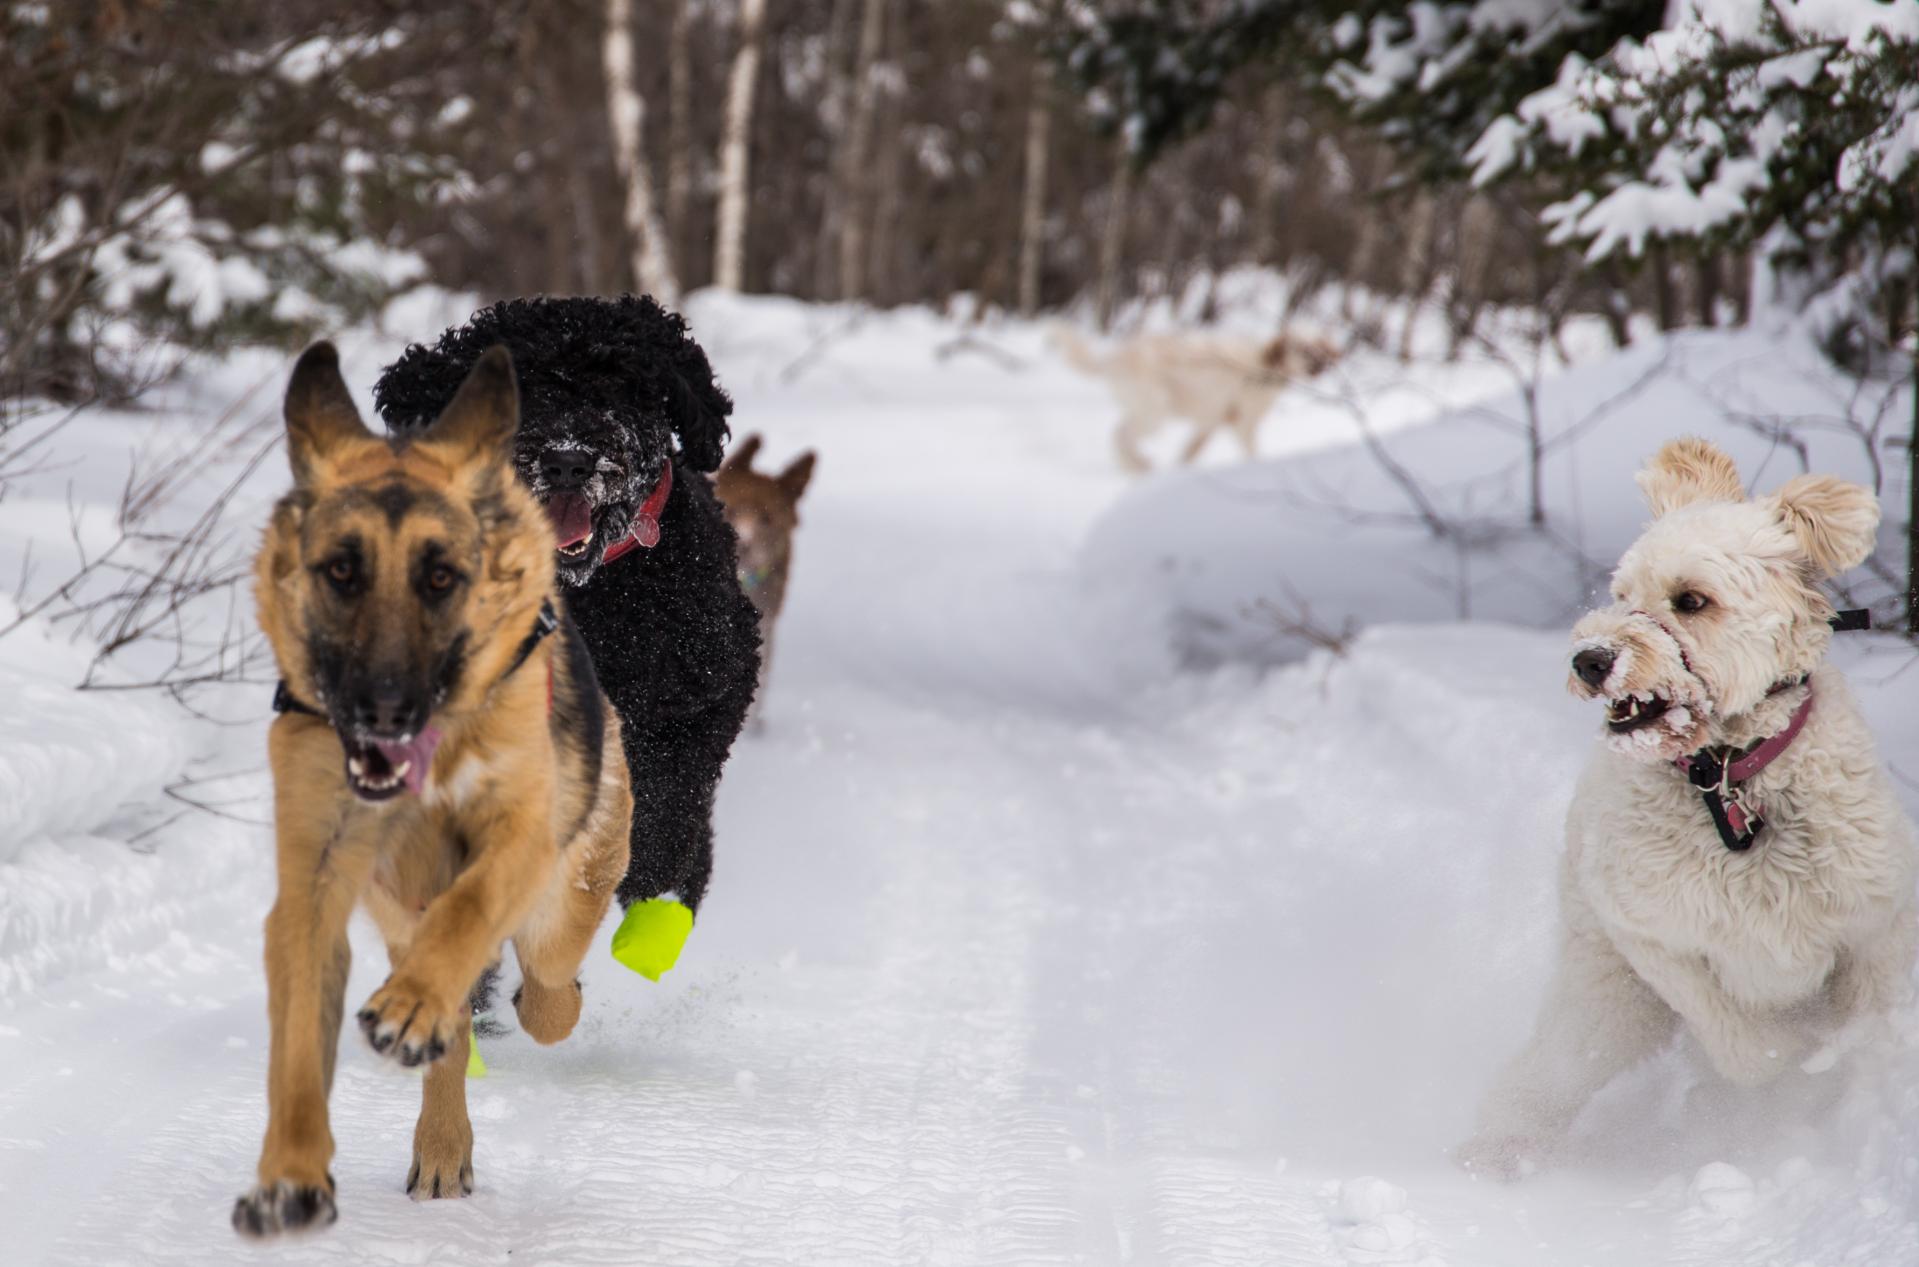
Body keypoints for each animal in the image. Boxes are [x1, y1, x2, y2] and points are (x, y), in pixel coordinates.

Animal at [234, 343, 629, 1236]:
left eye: (441, 577)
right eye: (341, 571)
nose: (382, 709)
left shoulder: (520, 835)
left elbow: (470, 907)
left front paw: (416, 1003)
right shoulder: (313, 880)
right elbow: (296, 1041)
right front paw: (292, 1172)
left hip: (570, 889)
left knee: (547, 981)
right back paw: (442, 1137)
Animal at [370, 293, 759, 929]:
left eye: (621, 384)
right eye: (523, 384)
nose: (569, 460)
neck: (594, 599)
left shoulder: (706, 690)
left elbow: (671, 794)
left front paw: (649, 880)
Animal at [1458, 439, 1911, 1182]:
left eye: (1691, 600)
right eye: (1621, 595)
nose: (1589, 659)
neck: (1728, 776)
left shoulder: (1876, 918)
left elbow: (1866, 1016)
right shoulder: (1654, 936)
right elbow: (1744, 1041)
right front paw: (1789, 1064)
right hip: (1605, 997)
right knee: (1540, 1076)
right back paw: (1491, 1155)